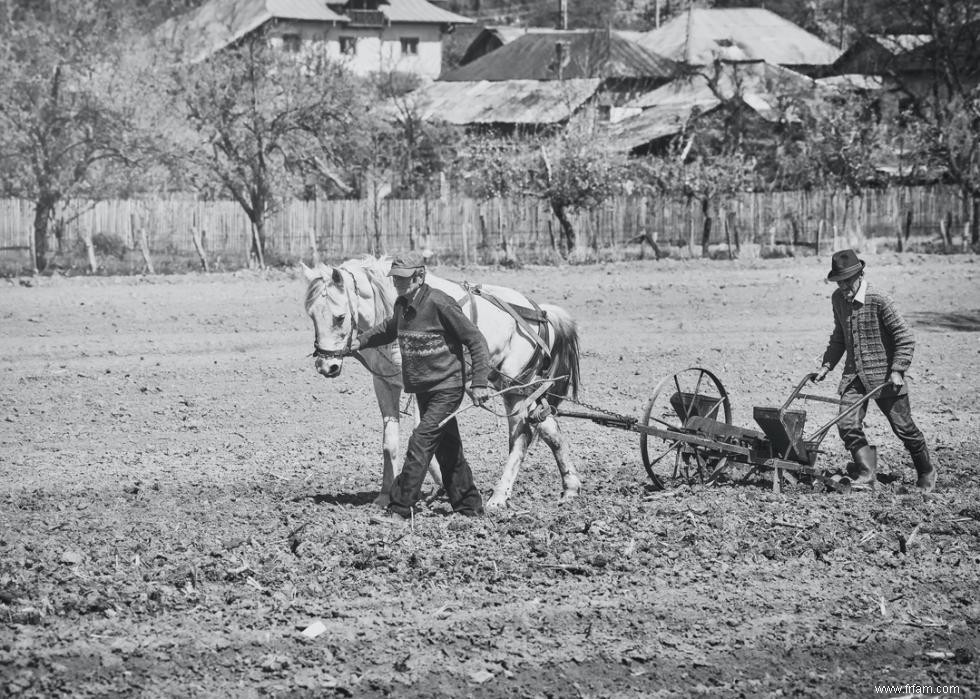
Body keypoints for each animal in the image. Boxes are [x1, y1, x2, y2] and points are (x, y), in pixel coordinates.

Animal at [302, 258, 580, 508]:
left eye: (339, 317)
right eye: (311, 315)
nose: (326, 366)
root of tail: (540, 312)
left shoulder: (417, 385)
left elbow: (423, 432)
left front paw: (433, 487)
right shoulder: (383, 383)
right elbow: (390, 442)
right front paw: (384, 496)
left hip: (517, 386)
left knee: (522, 434)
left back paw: (499, 496)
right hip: (515, 385)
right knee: (547, 428)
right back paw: (570, 488)